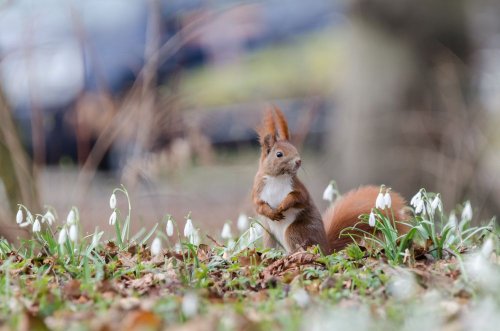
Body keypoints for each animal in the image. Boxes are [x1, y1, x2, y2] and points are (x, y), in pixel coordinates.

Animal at [252, 106, 408, 254]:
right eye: (279, 154)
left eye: (294, 148)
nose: (298, 161)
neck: (277, 178)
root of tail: (326, 248)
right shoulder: (258, 191)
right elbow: (258, 206)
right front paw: (271, 212)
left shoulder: (297, 187)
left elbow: (299, 197)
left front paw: (283, 205)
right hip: (268, 234)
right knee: (270, 245)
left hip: (294, 230)